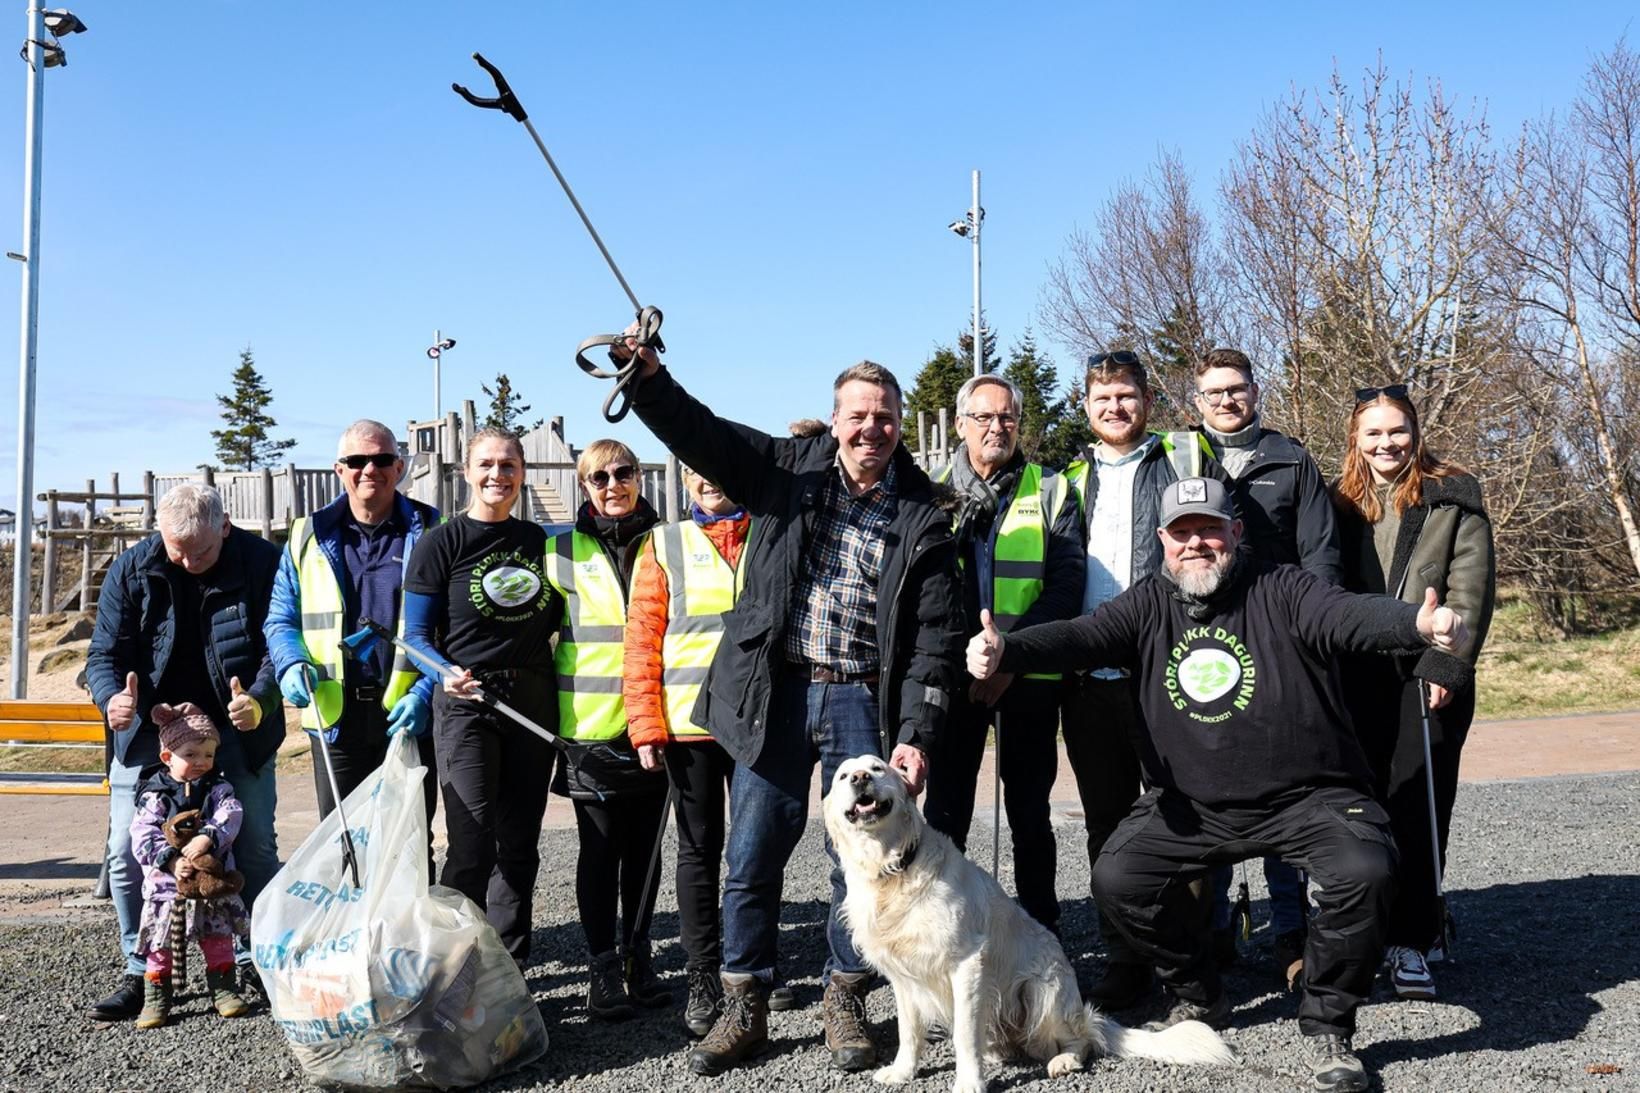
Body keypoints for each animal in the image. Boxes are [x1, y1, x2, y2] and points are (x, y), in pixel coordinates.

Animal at [826, 748, 1233, 1089]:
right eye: (844, 776)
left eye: (878, 768)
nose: (860, 778)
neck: (892, 869)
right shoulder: (903, 974)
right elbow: (908, 1031)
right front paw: (901, 1072)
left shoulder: (966, 964)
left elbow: (965, 1036)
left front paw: (969, 1082)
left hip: (1042, 990)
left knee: (1081, 1040)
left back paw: (1063, 1061)